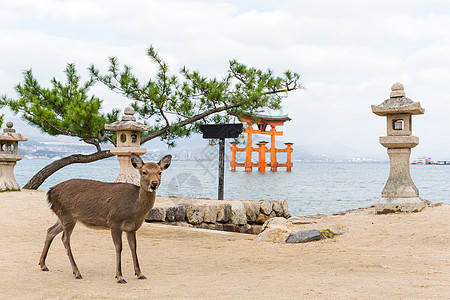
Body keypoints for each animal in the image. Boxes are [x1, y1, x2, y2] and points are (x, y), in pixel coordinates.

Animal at [37, 154, 171, 282]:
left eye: (160, 172)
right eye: (144, 172)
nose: (154, 184)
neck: (134, 208)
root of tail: (50, 192)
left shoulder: (131, 228)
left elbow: (133, 247)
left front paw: (140, 274)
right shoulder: (115, 221)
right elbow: (119, 247)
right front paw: (120, 277)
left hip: (63, 217)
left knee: (50, 230)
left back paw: (43, 265)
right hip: (67, 215)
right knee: (65, 239)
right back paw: (77, 272)